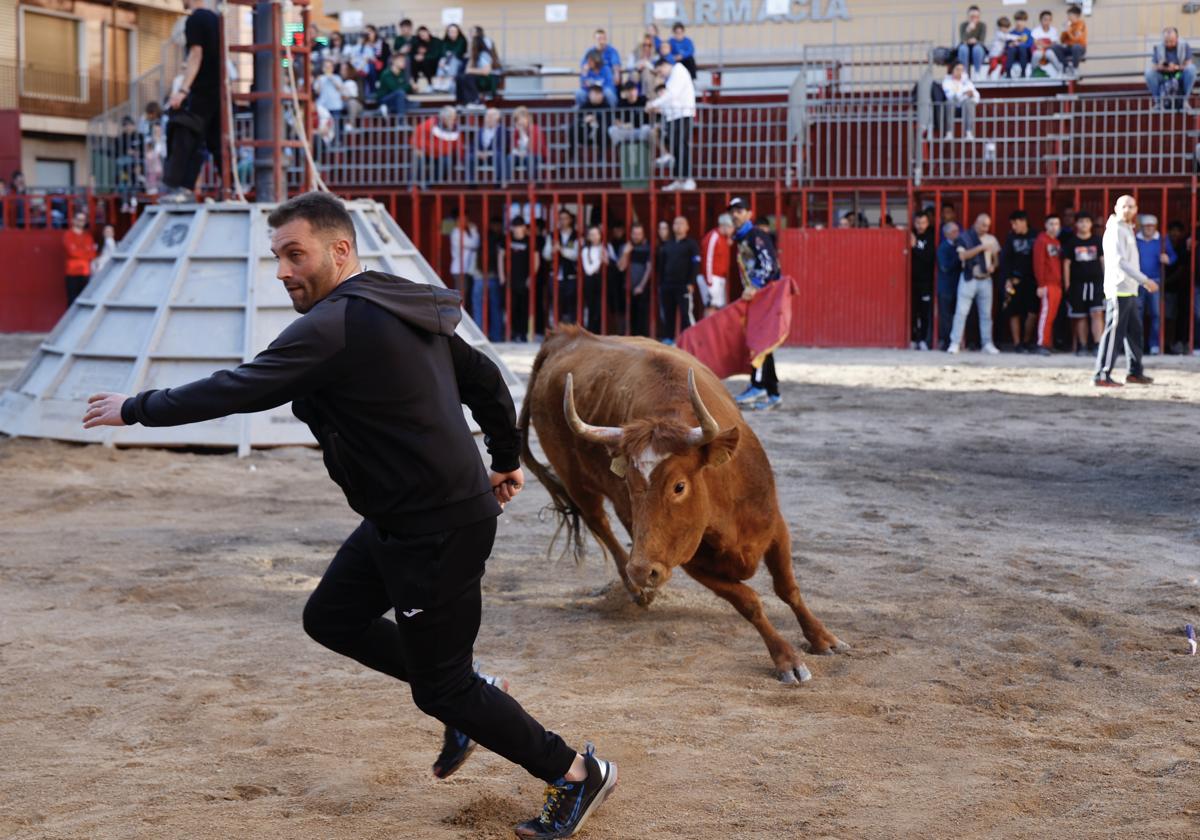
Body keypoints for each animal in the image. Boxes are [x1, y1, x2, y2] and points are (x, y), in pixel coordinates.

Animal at [516, 324, 844, 686]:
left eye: (679, 486)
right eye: (629, 484)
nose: (641, 571)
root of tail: (563, 338)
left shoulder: (775, 527)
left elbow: (788, 588)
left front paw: (822, 638)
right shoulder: (690, 562)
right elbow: (749, 602)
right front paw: (786, 658)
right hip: (575, 481)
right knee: (598, 520)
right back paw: (635, 589)